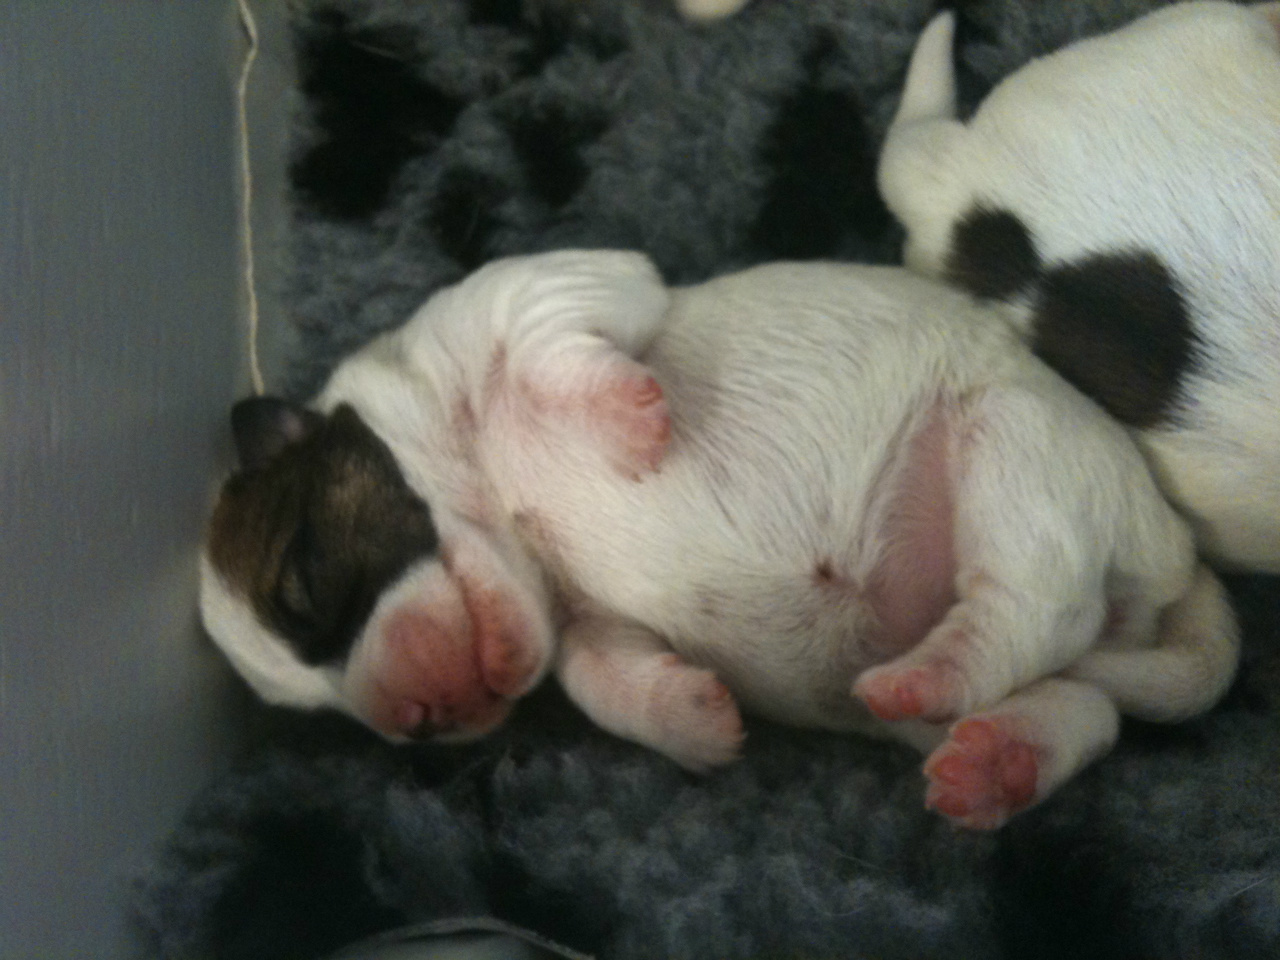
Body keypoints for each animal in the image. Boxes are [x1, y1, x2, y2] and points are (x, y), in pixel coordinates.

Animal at [200, 251, 1239, 829]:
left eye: (303, 583)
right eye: (327, 720)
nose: (416, 723)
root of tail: (1176, 558)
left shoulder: (561, 279)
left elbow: (545, 343)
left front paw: (629, 424)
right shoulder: (587, 626)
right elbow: (602, 676)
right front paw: (693, 719)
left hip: (1016, 441)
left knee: (1033, 601)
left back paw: (940, 668)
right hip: (999, 672)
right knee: (1084, 706)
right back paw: (999, 762)